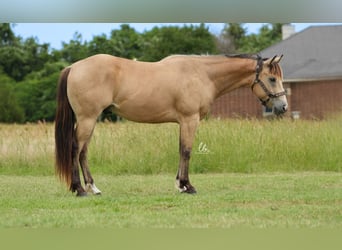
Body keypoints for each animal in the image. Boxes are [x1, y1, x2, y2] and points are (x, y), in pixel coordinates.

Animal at [54, 53, 288, 196]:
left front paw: (180, 185)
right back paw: (79, 189)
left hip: (90, 120)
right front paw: (188, 186)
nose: (283, 107)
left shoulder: (183, 122)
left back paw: (93, 188)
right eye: (272, 79)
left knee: (83, 152)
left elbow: (180, 150)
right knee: (75, 149)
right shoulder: (190, 119)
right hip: (87, 119)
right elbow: (187, 151)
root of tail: (74, 67)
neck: (202, 74)